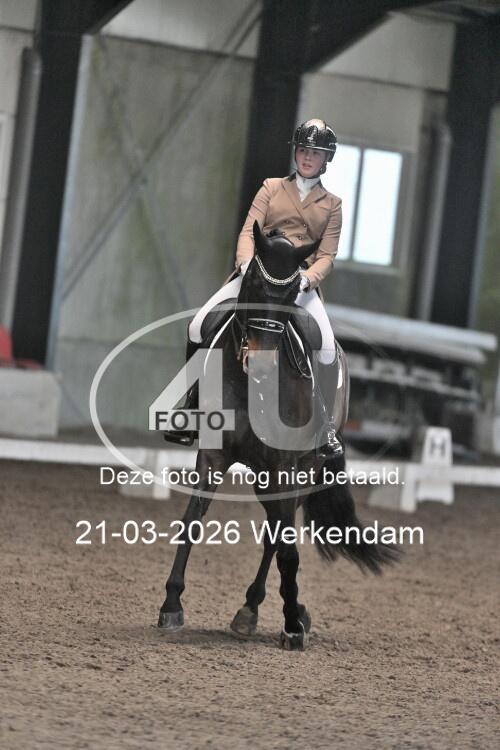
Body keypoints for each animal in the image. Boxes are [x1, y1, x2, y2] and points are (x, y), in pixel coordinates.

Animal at [158, 222, 396, 650]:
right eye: (252, 281)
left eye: (292, 292)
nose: (263, 362)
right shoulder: (214, 456)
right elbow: (193, 520)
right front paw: (171, 604)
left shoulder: (286, 465)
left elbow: (287, 548)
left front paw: (292, 626)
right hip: (263, 475)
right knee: (273, 527)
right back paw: (261, 609)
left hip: (301, 470)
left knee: (278, 534)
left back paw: (261, 609)